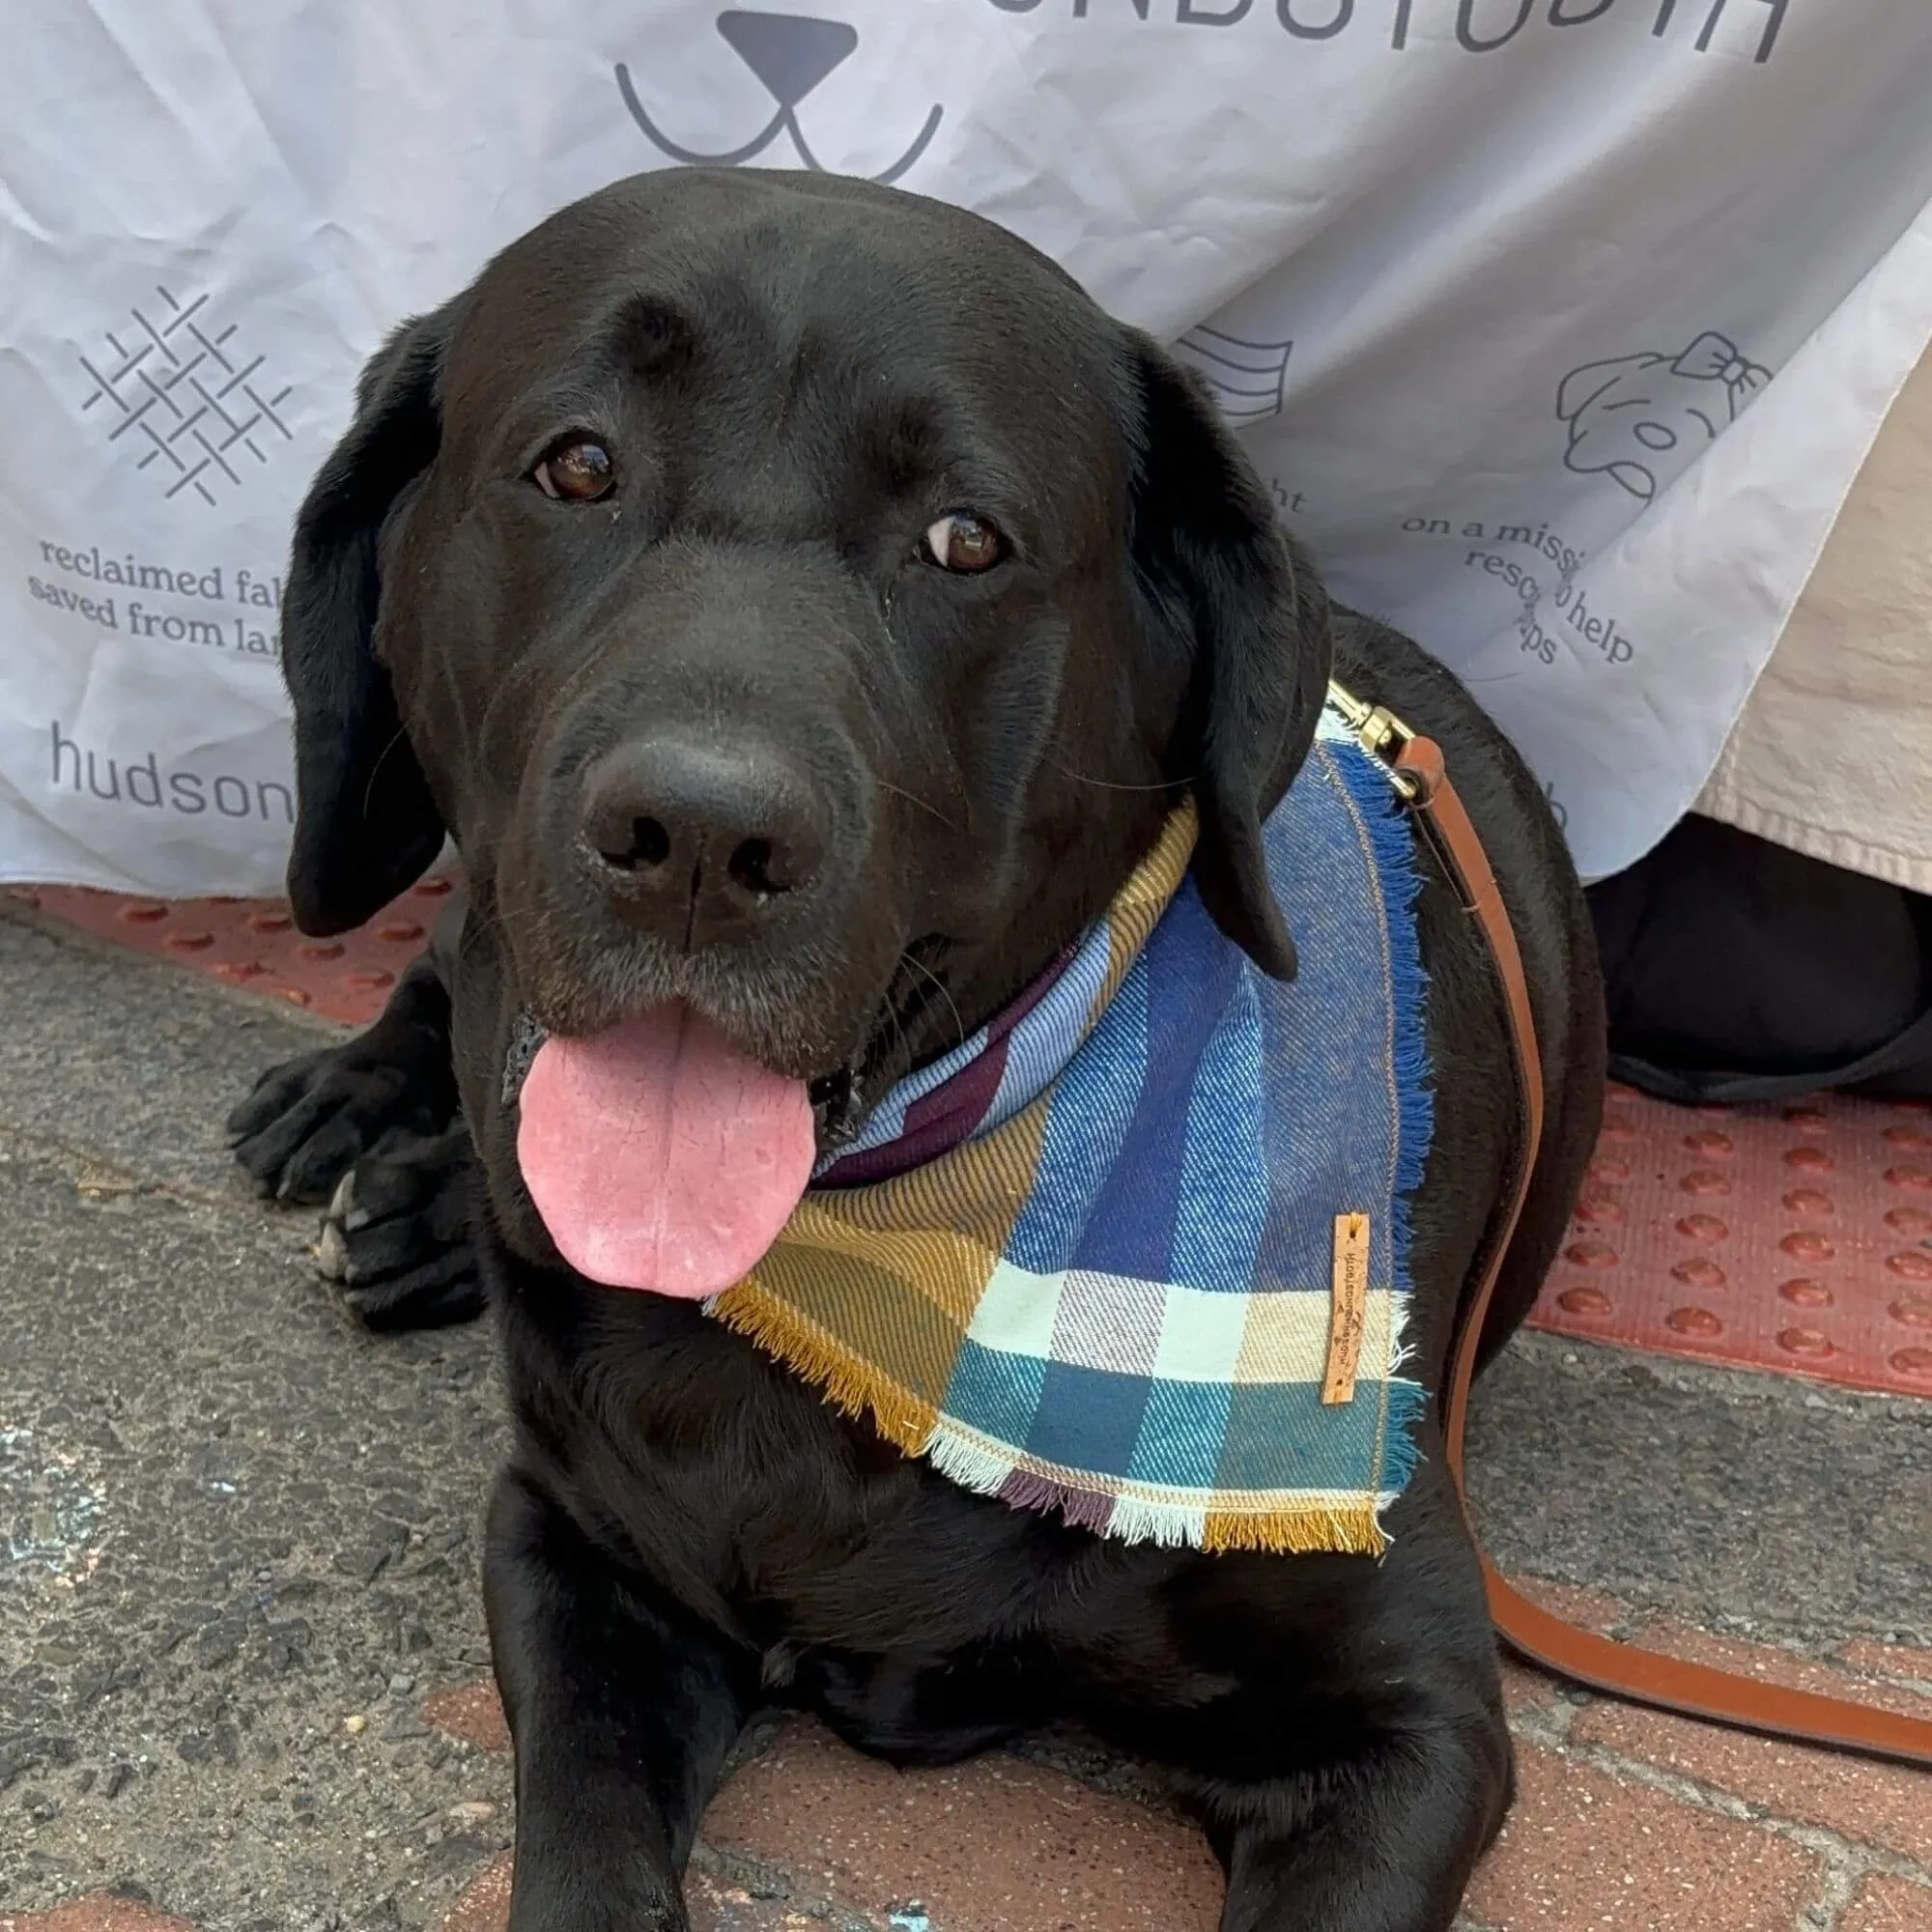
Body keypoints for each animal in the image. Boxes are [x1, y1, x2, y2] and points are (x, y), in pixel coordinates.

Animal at [230, 170, 1600, 1932]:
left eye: (966, 540)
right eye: (577, 465)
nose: (698, 839)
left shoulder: (1403, 1720)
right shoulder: (569, 1544)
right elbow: (583, 1844)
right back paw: (362, 1135)